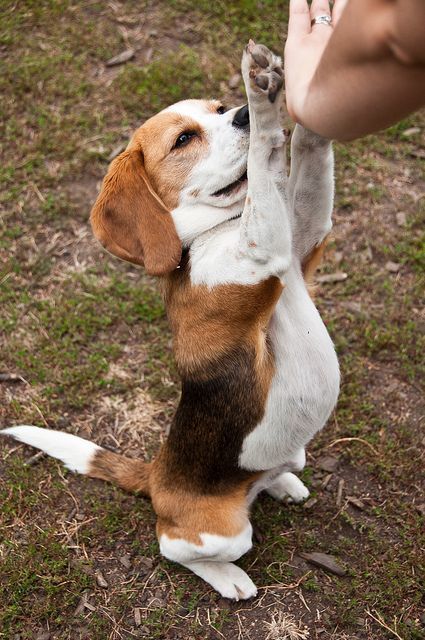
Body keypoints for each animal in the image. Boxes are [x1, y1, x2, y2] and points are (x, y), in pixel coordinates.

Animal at [0, 43, 338, 600]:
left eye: (219, 108)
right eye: (183, 139)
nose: (240, 113)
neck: (213, 233)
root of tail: (157, 474)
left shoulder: (303, 234)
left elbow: (307, 157)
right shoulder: (262, 251)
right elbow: (267, 159)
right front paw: (263, 103)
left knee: (274, 475)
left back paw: (283, 480)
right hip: (219, 533)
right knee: (173, 547)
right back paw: (229, 577)